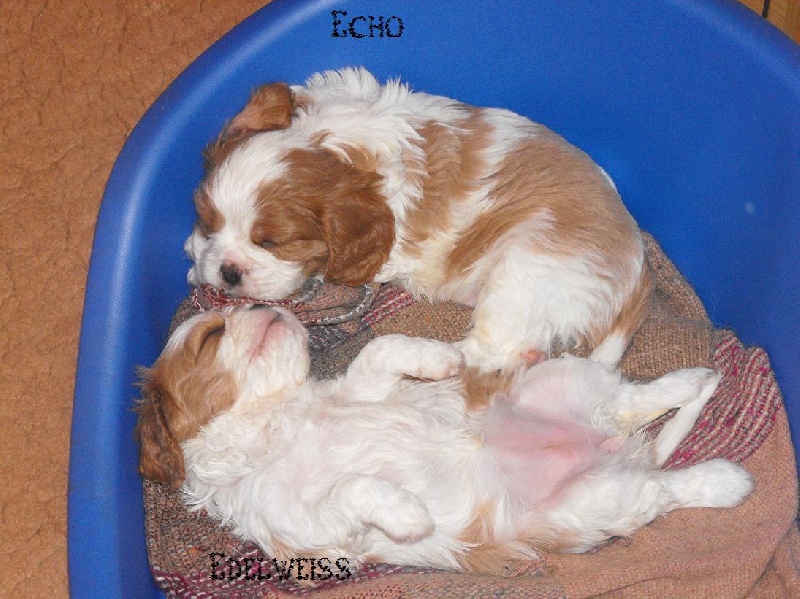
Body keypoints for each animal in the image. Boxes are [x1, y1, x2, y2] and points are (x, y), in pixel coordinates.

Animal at [135, 305, 753, 575]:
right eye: (212, 335)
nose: (265, 303)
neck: (275, 421)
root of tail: (609, 445)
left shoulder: (363, 390)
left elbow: (379, 349)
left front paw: (440, 360)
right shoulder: (311, 530)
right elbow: (354, 489)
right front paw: (408, 515)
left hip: (561, 384)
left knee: (635, 405)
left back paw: (695, 380)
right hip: (595, 499)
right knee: (668, 487)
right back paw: (726, 478)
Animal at [184, 67, 653, 371]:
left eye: (272, 242)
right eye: (208, 221)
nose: (228, 272)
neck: (330, 145)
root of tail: (635, 277)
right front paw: (196, 255)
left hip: (523, 269)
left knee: (494, 351)